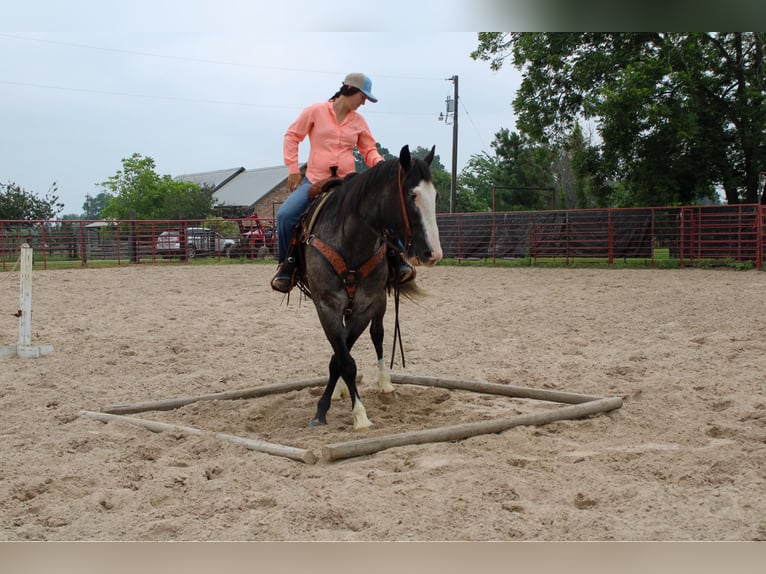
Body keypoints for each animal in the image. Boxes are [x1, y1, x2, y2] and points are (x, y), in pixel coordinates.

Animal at [300, 144, 444, 432]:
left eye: (434, 196)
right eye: (412, 195)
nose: (433, 253)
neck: (350, 240)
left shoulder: (366, 306)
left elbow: (341, 358)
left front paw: (350, 411)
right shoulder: (327, 306)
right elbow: (344, 359)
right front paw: (339, 410)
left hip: (381, 301)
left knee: (378, 335)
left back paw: (386, 385)